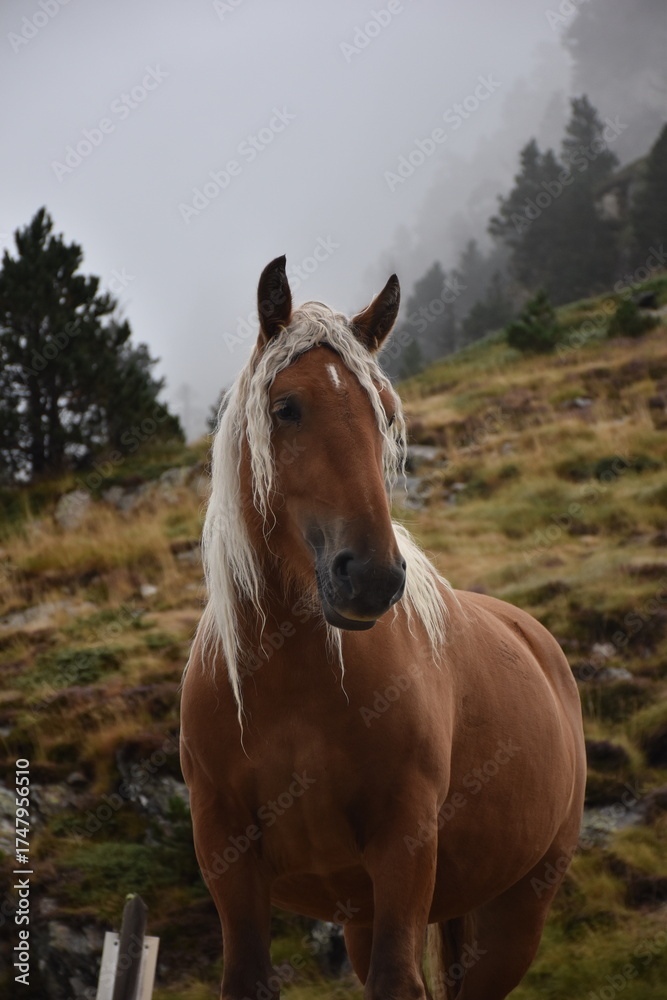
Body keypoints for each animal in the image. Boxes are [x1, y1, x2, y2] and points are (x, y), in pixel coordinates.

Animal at [180, 255, 586, 1000]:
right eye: (286, 408)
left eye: (387, 415)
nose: (369, 575)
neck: (293, 688)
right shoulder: (225, 851)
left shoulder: (404, 843)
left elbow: (401, 981)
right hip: (365, 915)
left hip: (516, 910)